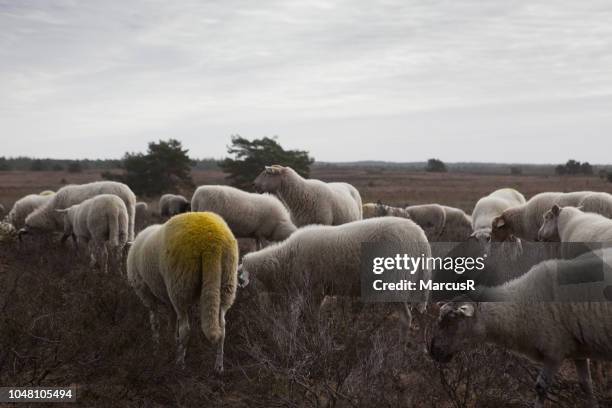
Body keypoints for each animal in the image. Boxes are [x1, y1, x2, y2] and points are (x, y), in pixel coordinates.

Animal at [125, 212, 238, 374]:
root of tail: (211, 243)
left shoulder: (146, 293)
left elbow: (155, 322)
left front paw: (156, 348)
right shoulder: (167, 299)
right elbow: (171, 323)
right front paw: (170, 342)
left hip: (180, 284)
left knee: (185, 329)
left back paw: (180, 364)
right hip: (226, 282)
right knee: (222, 327)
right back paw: (219, 366)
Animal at [239, 218, 430, 326]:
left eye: (241, 280)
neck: (286, 259)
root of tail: (420, 236)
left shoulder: (311, 289)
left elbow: (305, 316)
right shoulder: (319, 291)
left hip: (395, 281)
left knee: (406, 318)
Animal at [428, 249, 612, 408]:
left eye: (452, 320)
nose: (433, 351)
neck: (520, 306)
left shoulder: (554, 351)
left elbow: (540, 387)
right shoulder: (577, 350)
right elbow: (586, 386)